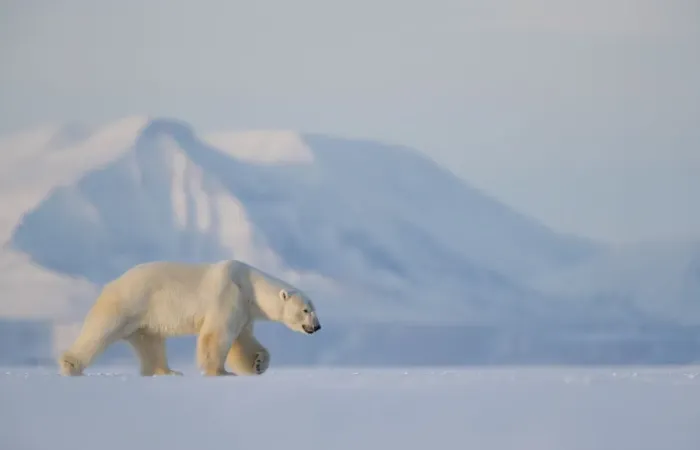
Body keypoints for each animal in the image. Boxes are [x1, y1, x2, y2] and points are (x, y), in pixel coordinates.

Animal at [57, 259, 321, 377]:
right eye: (306, 310)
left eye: (313, 308)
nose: (317, 326)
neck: (248, 285)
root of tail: (111, 283)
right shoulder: (227, 295)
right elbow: (217, 335)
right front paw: (220, 372)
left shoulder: (245, 312)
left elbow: (242, 341)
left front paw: (258, 362)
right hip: (129, 303)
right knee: (100, 331)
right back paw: (70, 365)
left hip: (144, 321)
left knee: (151, 344)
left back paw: (167, 371)